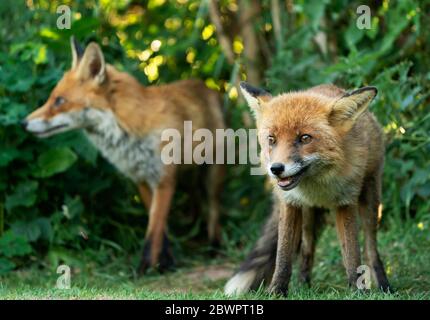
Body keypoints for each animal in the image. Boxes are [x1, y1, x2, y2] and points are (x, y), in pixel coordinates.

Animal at [23, 37, 227, 272]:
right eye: (51, 99)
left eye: (59, 101)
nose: (23, 123)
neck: (128, 130)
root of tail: (207, 86)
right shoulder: (141, 180)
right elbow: (160, 228)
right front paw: (164, 262)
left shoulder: (164, 180)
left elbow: (153, 231)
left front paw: (144, 268)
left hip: (212, 175)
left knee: (214, 209)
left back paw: (215, 246)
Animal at [227, 82, 392, 296]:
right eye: (271, 139)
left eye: (305, 138)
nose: (276, 169)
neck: (316, 185)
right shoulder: (290, 203)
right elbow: (283, 256)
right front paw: (276, 292)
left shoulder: (346, 202)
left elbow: (352, 254)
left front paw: (358, 292)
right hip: (307, 216)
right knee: (307, 250)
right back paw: (303, 285)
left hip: (370, 202)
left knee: (371, 249)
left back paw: (384, 285)